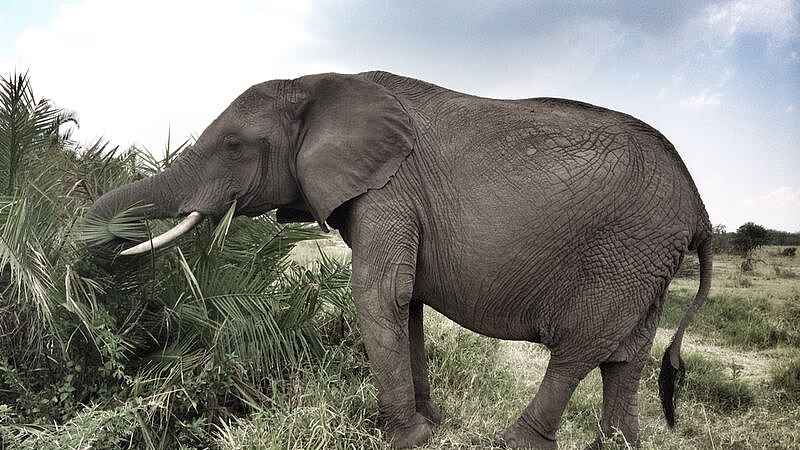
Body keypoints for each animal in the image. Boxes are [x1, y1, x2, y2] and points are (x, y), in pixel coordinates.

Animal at [87, 71, 713, 449]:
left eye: (234, 146)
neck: (320, 86)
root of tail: (699, 209)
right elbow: (405, 301)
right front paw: (430, 426)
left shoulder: (389, 188)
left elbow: (379, 292)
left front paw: (408, 439)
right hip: (648, 261)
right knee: (625, 360)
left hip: (626, 252)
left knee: (579, 351)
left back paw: (516, 442)